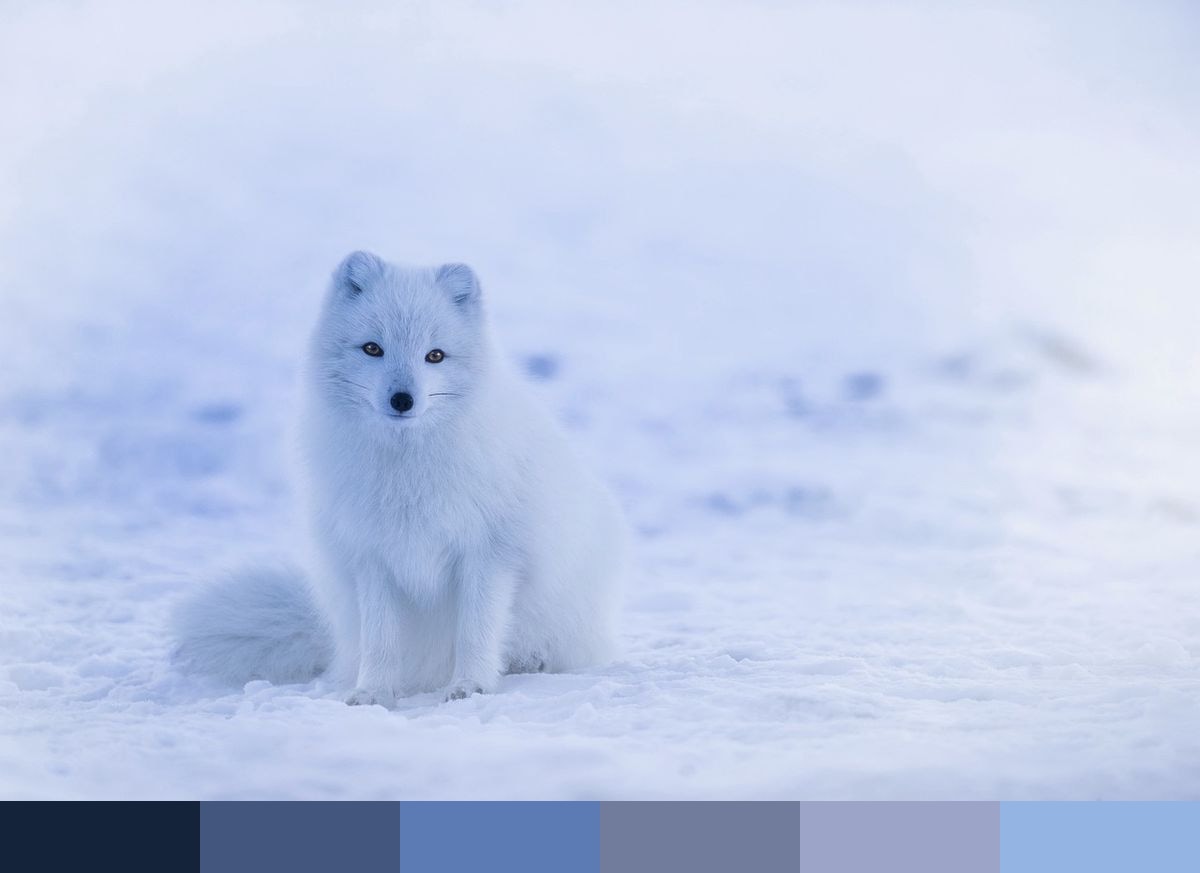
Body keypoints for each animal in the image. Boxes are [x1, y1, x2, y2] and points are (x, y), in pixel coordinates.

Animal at [173, 252, 626, 705]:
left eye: (435, 356)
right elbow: (381, 640)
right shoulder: (372, 557)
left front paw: (470, 686)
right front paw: (373, 692)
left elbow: (476, 631)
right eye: (373, 348)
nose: (402, 399)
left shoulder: (489, 553)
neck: (407, 469)